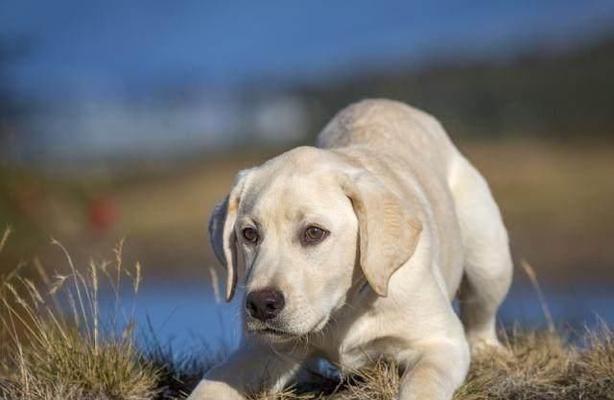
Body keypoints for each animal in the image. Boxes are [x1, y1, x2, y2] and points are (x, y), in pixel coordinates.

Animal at [189, 99, 516, 400]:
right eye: (249, 234)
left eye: (313, 233)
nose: (260, 304)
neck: (343, 310)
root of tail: (387, 103)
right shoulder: (261, 351)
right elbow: (212, 383)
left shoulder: (441, 342)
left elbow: (423, 382)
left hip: (489, 258)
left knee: (480, 317)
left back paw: (489, 351)